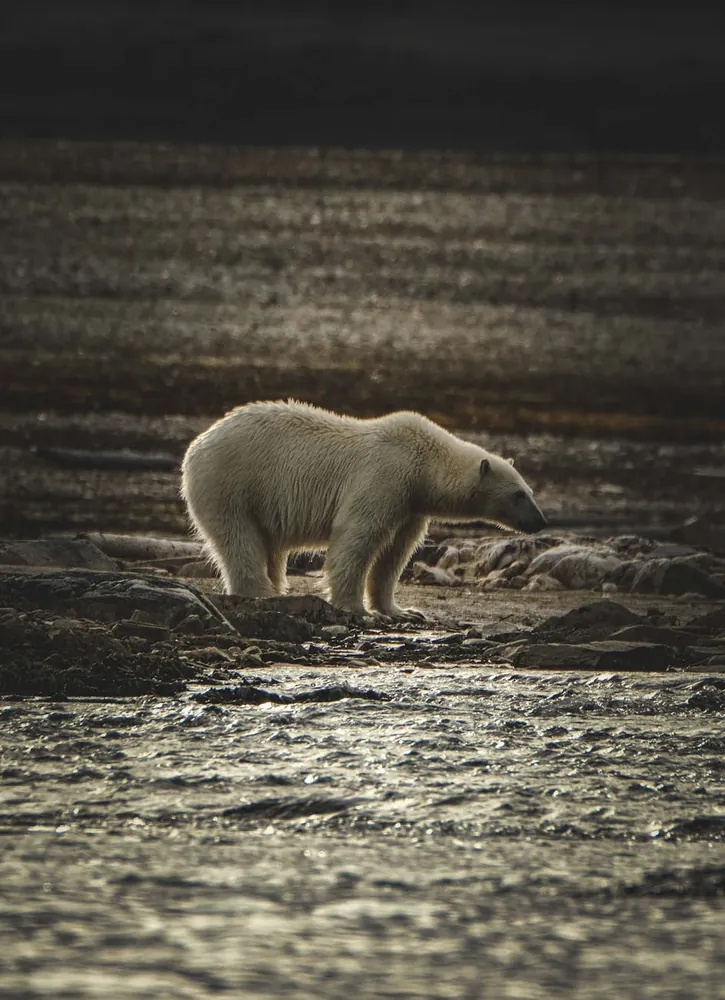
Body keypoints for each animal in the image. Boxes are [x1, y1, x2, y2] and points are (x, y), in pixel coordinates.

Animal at [180, 400, 546, 619]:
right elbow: (356, 536)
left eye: (529, 491)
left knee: (268, 545)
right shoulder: (385, 477)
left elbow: (395, 553)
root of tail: (199, 442)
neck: (425, 464)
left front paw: (401, 610)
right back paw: (261, 592)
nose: (540, 521)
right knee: (239, 537)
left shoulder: (411, 505)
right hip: (231, 483)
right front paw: (355, 608)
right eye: (518, 495)